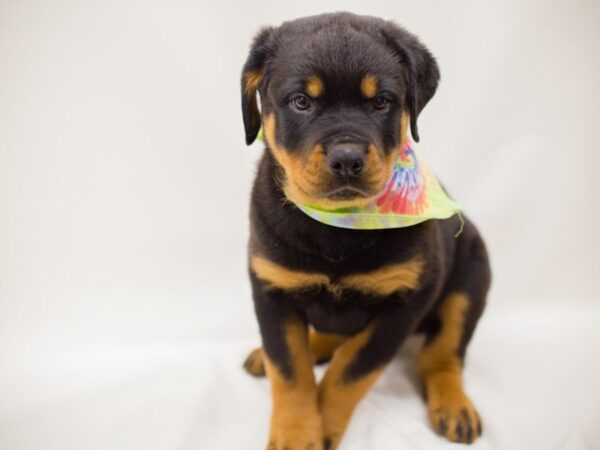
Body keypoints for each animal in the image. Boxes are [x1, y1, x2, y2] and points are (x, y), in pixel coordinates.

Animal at [240, 12, 492, 450]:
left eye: (381, 102)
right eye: (301, 101)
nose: (347, 158)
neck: (337, 227)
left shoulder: (406, 302)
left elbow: (351, 370)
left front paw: (322, 427)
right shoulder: (271, 287)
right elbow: (289, 368)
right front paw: (297, 433)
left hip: (470, 279)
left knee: (442, 355)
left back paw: (454, 405)